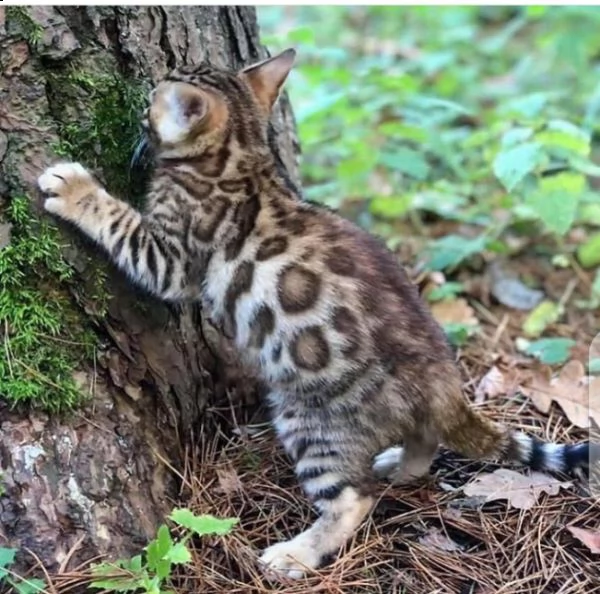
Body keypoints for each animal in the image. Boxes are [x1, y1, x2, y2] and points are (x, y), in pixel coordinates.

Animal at [38, 48, 596, 576]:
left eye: (153, 102)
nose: (141, 97)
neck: (242, 152)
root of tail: (445, 387)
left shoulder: (172, 255)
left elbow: (122, 225)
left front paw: (76, 190)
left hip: (310, 420)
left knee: (353, 499)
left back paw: (297, 553)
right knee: (422, 447)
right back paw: (398, 462)